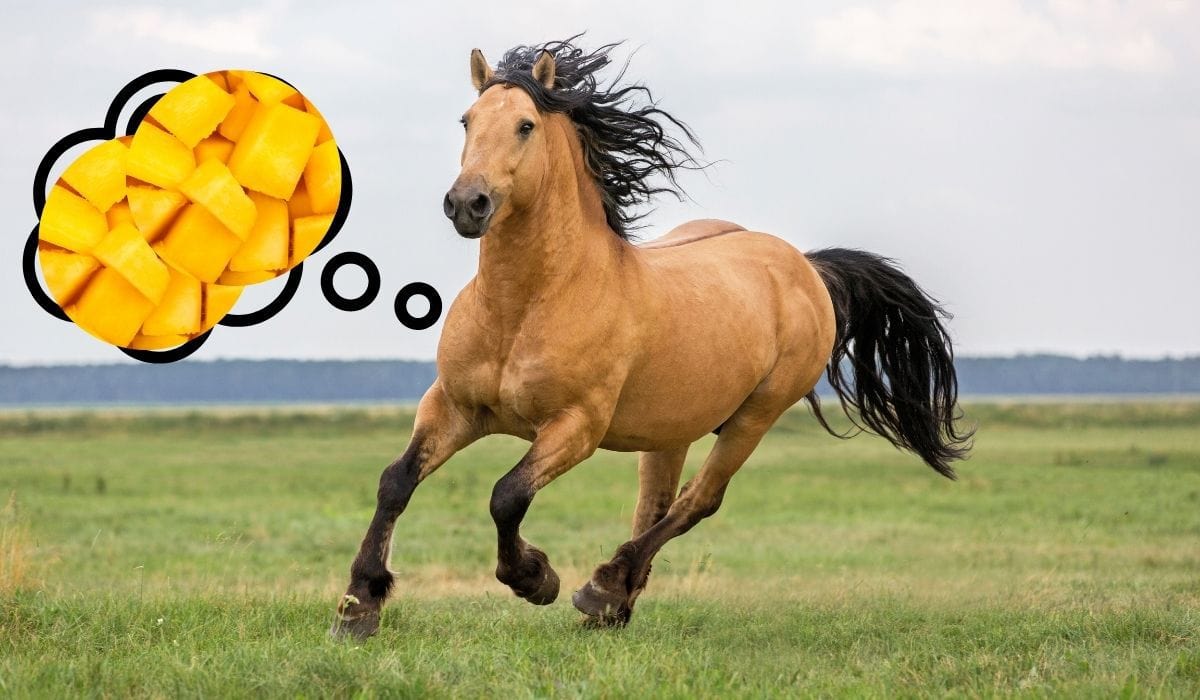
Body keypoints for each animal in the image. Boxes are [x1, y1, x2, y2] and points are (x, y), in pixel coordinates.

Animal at [331, 39, 972, 639]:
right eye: (466, 121)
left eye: (525, 125)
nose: (468, 203)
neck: (526, 305)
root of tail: (805, 267)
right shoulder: (454, 406)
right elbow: (396, 482)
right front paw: (359, 606)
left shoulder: (576, 427)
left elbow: (506, 495)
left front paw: (536, 578)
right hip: (672, 428)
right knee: (655, 505)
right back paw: (614, 605)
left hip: (755, 416)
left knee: (697, 502)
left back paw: (600, 589)